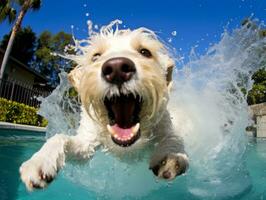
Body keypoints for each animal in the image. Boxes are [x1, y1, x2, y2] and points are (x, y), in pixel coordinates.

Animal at [19, 26, 189, 191]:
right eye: (96, 56)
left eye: (145, 52)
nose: (117, 68)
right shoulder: (86, 144)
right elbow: (61, 138)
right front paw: (41, 160)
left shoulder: (165, 126)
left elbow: (175, 138)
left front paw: (172, 158)